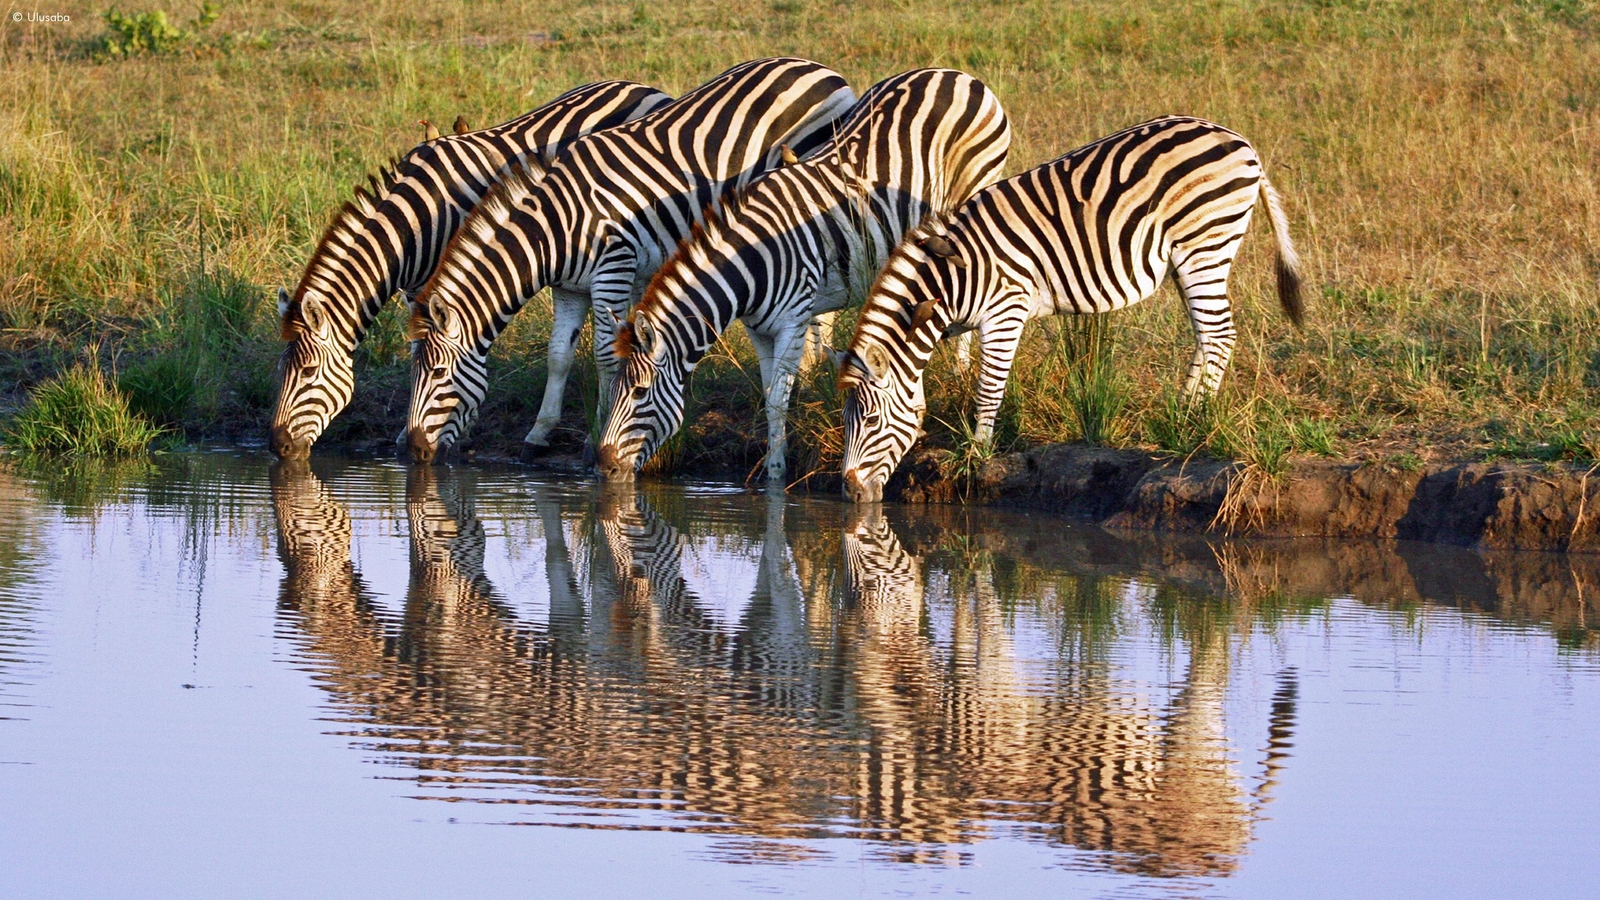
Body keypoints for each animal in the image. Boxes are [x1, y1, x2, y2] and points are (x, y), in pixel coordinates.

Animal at [268, 81, 673, 459]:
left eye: (307, 372)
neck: (416, 221)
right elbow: (420, 350)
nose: (277, 446)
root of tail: (641, 87)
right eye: (280, 370)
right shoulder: (416, 290)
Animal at [402, 58, 856, 463]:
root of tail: (816, 67)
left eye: (437, 374)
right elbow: (558, 355)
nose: (414, 450)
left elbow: (605, 355)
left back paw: (808, 371)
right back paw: (811, 370)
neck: (555, 227)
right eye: (416, 371)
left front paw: (592, 438)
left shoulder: (613, 267)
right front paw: (538, 433)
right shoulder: (568, 288)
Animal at [594, 68, 1010, 485]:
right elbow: (769, 394)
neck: (751, 261)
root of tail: (954, 73)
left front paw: (776, 473)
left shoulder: (792, 322)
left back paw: (959, 371)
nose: (605, 466)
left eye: (640, 392)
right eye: (612, 390)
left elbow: (778, 399)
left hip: (970, 193)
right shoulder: (758, 330)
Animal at [838, 116, 1304, 503]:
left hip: (1205, 243)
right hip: (1189, 257)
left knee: (1220, 335)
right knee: (1205, 337)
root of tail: (1239, 140)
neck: (951, 278)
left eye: (872, 422)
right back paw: (1182, 411)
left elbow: (989, 388)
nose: (850, 491)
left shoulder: (1006, 308)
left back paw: (1194, 422)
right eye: (845, 421)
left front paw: (975, 454)